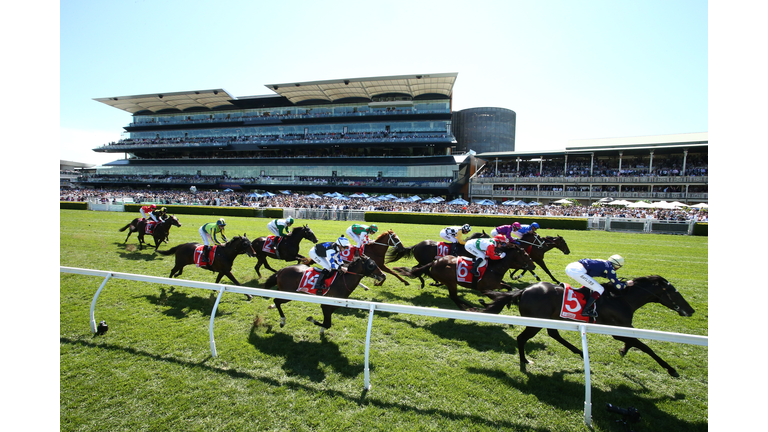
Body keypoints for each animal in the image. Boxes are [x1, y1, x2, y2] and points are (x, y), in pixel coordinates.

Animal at [396, 243, 536, 310]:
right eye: (525, 255)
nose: (533, 266)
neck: (494, 267)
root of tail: (435, 262)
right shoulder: (483, 288)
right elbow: (494, 295)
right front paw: (488, 303)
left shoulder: (497, 283)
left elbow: (508, 287)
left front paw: (509, 301)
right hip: (451, 281)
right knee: (454, 296)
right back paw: (468, 307)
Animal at [476, 276, 692, 376]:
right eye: (675, 293)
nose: (691, 310)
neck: (622, 299)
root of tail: (524, 290)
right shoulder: (616, 328)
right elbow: (645, 346)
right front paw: (670, 369)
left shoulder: (623, 328)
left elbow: (634, 343)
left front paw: (623, 350)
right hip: (535, 322)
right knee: (522, 338)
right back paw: (524, 360)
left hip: (550, 318)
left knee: (554, 334)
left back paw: (580, 352)